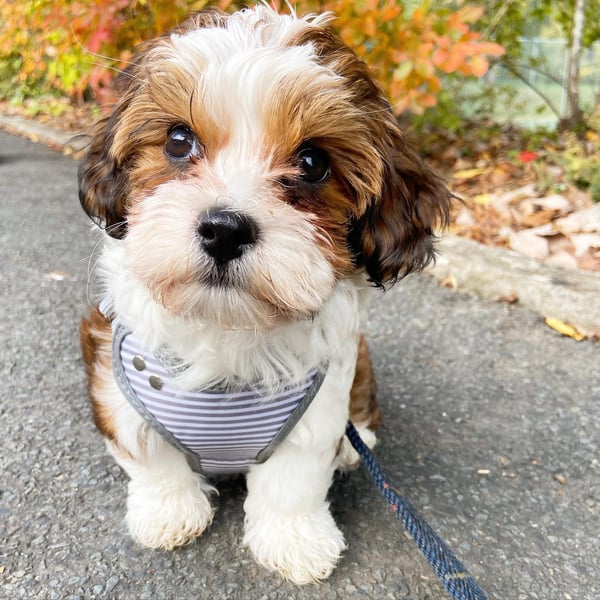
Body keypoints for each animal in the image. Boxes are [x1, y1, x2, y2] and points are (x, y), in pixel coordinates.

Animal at [78, 3, 450, 584]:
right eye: (178, 141)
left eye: (313, 163)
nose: (224, 229)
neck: (227, 329)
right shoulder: (116, 383)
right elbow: (150, 455)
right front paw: (168, 509)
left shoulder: (318, 403)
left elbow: (294, 479)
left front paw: (294, 537)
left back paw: (355, 448)